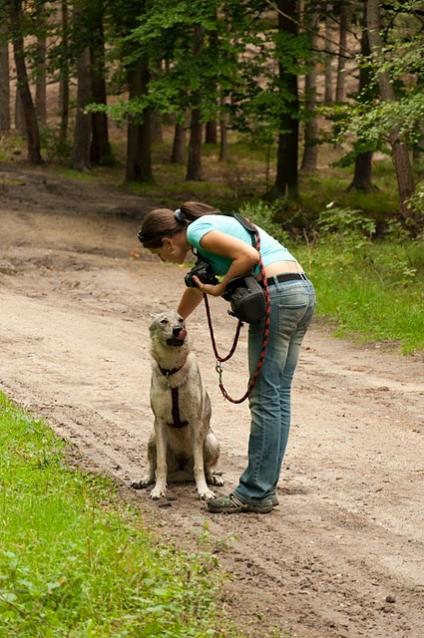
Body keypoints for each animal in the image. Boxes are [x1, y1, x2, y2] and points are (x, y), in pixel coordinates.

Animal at [132, 310, 224, 500]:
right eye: (164, 321)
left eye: (181, 320)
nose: (178, 329)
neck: (171, 370)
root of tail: (182, 472)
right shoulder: (159, 422)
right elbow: (161, 465)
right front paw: (159, 489)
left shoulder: (196, 423)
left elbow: (199, 467)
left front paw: (204, 491)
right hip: (152, 438)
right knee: (152, 468)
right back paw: (144, 480)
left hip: (211, 441)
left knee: (207, 469)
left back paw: (214, 479)